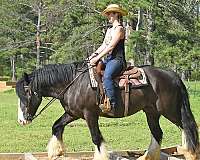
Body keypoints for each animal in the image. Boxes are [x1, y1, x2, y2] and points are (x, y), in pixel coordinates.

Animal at [16, 60, 200, 159]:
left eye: (26, 93)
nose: (21, 120)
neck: (73, 83)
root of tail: (173, 76)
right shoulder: (73, 113)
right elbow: (56, 126)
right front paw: (56, 152)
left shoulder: (90, 114)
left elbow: (96, 138)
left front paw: (101, 156)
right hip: (151, 112)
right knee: (158, 133)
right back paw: (146, 157)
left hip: (171, 111)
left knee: (188, 127)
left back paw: (192, 153)